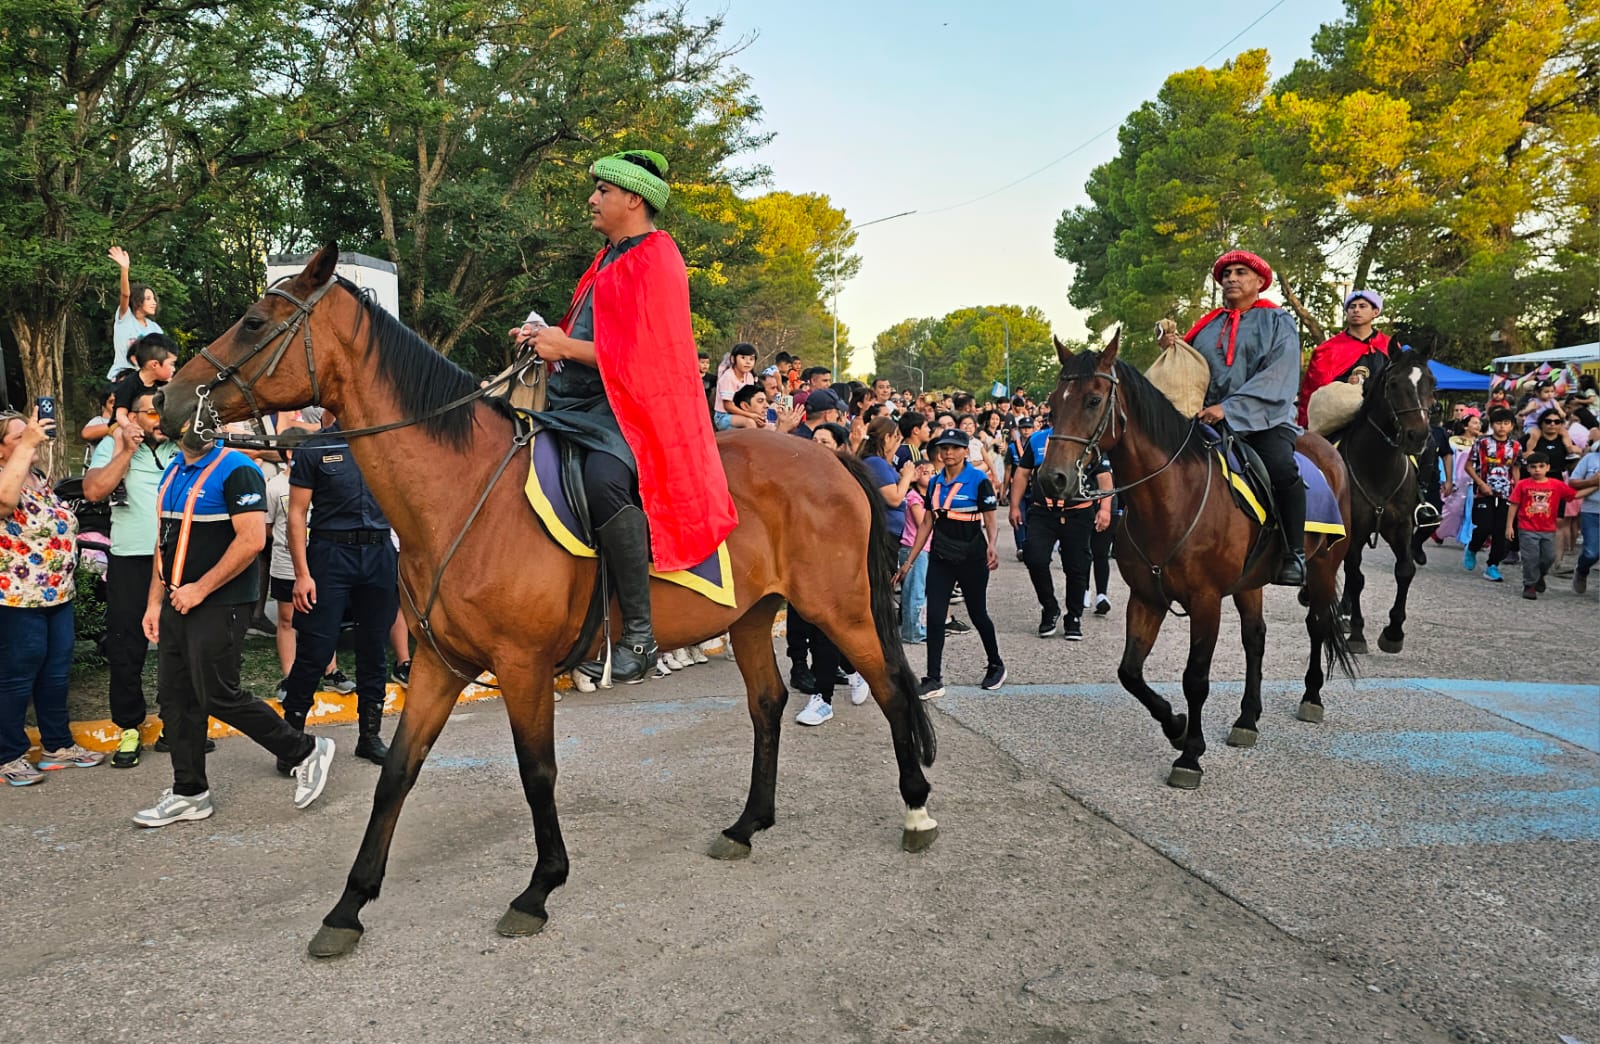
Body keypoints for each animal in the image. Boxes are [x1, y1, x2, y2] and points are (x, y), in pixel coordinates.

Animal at [154, 244, 938, 958]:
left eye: (254, 323)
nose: (167, 401)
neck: (464, 494)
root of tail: (833, 455)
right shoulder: (438, 664)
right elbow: (398, 774)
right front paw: (348, 907)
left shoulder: (523, 665)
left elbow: (537, 773)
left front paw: (538, 888)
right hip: (750, 617)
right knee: (768, 704)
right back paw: (747, 825)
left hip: (840, 608)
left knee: (891, 689)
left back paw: (916, 811)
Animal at [1032, 332, 1355, 789]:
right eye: (1053, 403)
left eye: (1093, 400)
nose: (1052, 479)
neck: (1171, 498)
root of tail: (1327, 448)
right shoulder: (1147, 597)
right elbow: (1130, 672)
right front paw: (1176, 726)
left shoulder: (1205, 601)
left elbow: (1195, 678)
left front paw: (1190, 755)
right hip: (1251, 582)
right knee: (1255, 637)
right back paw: (1247, 719)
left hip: (1325, 567)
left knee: (1318, 624)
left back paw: (1311, 697)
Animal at [1332, 348, 1437, 655]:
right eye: (1393, 384)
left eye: (1432, 383)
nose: (1418, 436)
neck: (1377, 468)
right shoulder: (1354, 531)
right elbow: (1356, 578)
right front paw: (1357, 633)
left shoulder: (1400, 528)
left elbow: (1404, 571)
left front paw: (1393, 632)